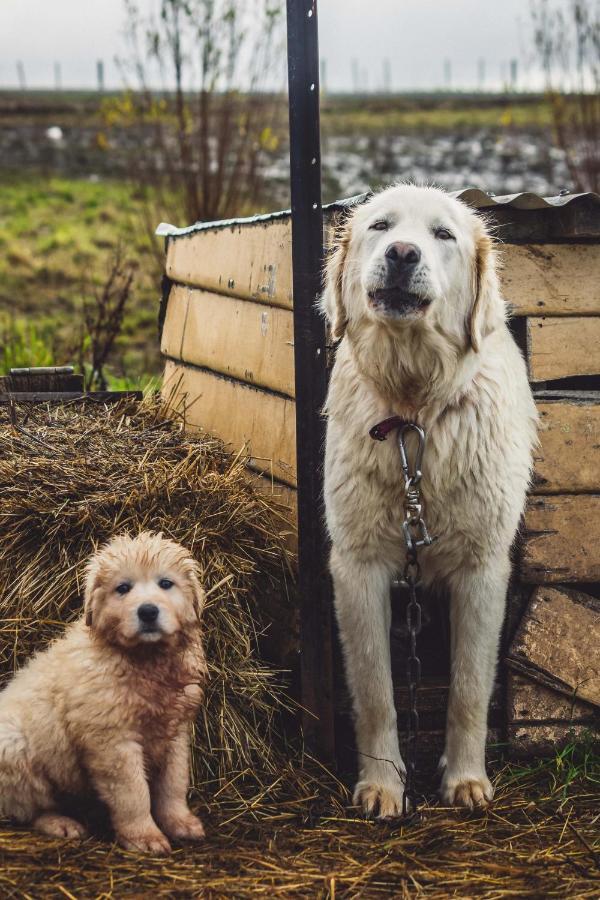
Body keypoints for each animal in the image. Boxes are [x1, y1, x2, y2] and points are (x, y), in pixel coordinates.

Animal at [0, 532, 209, 856]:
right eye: (123, 588)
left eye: (166, 583)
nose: (148, 611)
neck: (144, 660)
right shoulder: (112, 741)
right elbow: (134, 793)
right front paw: (144, 836)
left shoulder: (175, 734)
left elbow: (174, 783)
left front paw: (180, 822)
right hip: (14, 749)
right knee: (29, 808)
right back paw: (61, 824)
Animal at [322, 183, 536, 816]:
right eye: (380, 225)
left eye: (443, 235)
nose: (401, 253)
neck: (415, 408)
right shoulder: (358, 567)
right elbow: (376, 693)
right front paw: (382, 784)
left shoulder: (483, 570)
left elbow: (469, 690)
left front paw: (465, 779)